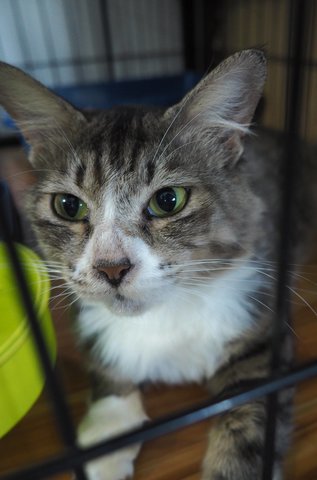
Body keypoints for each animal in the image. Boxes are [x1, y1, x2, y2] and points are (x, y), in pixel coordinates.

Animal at [0, 50, 312, 478]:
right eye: (68, 206)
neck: (164, 317)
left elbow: (246, 430)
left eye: (169, 200)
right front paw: (104, 448)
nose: (111, 268)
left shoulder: (262, 337)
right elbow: (110, 372)